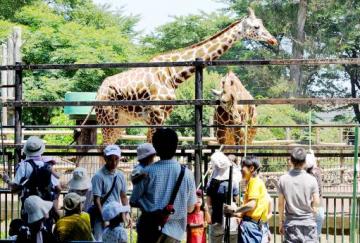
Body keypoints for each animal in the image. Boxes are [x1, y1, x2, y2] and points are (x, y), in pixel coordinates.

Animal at [95, 8, 276, 144]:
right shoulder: (156, 114)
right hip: (108, 120)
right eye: (256, 27)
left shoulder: (161, 115)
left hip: (121, 122)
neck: (172, 75)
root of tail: (97, 94)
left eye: (262, 24)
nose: (273, 40)